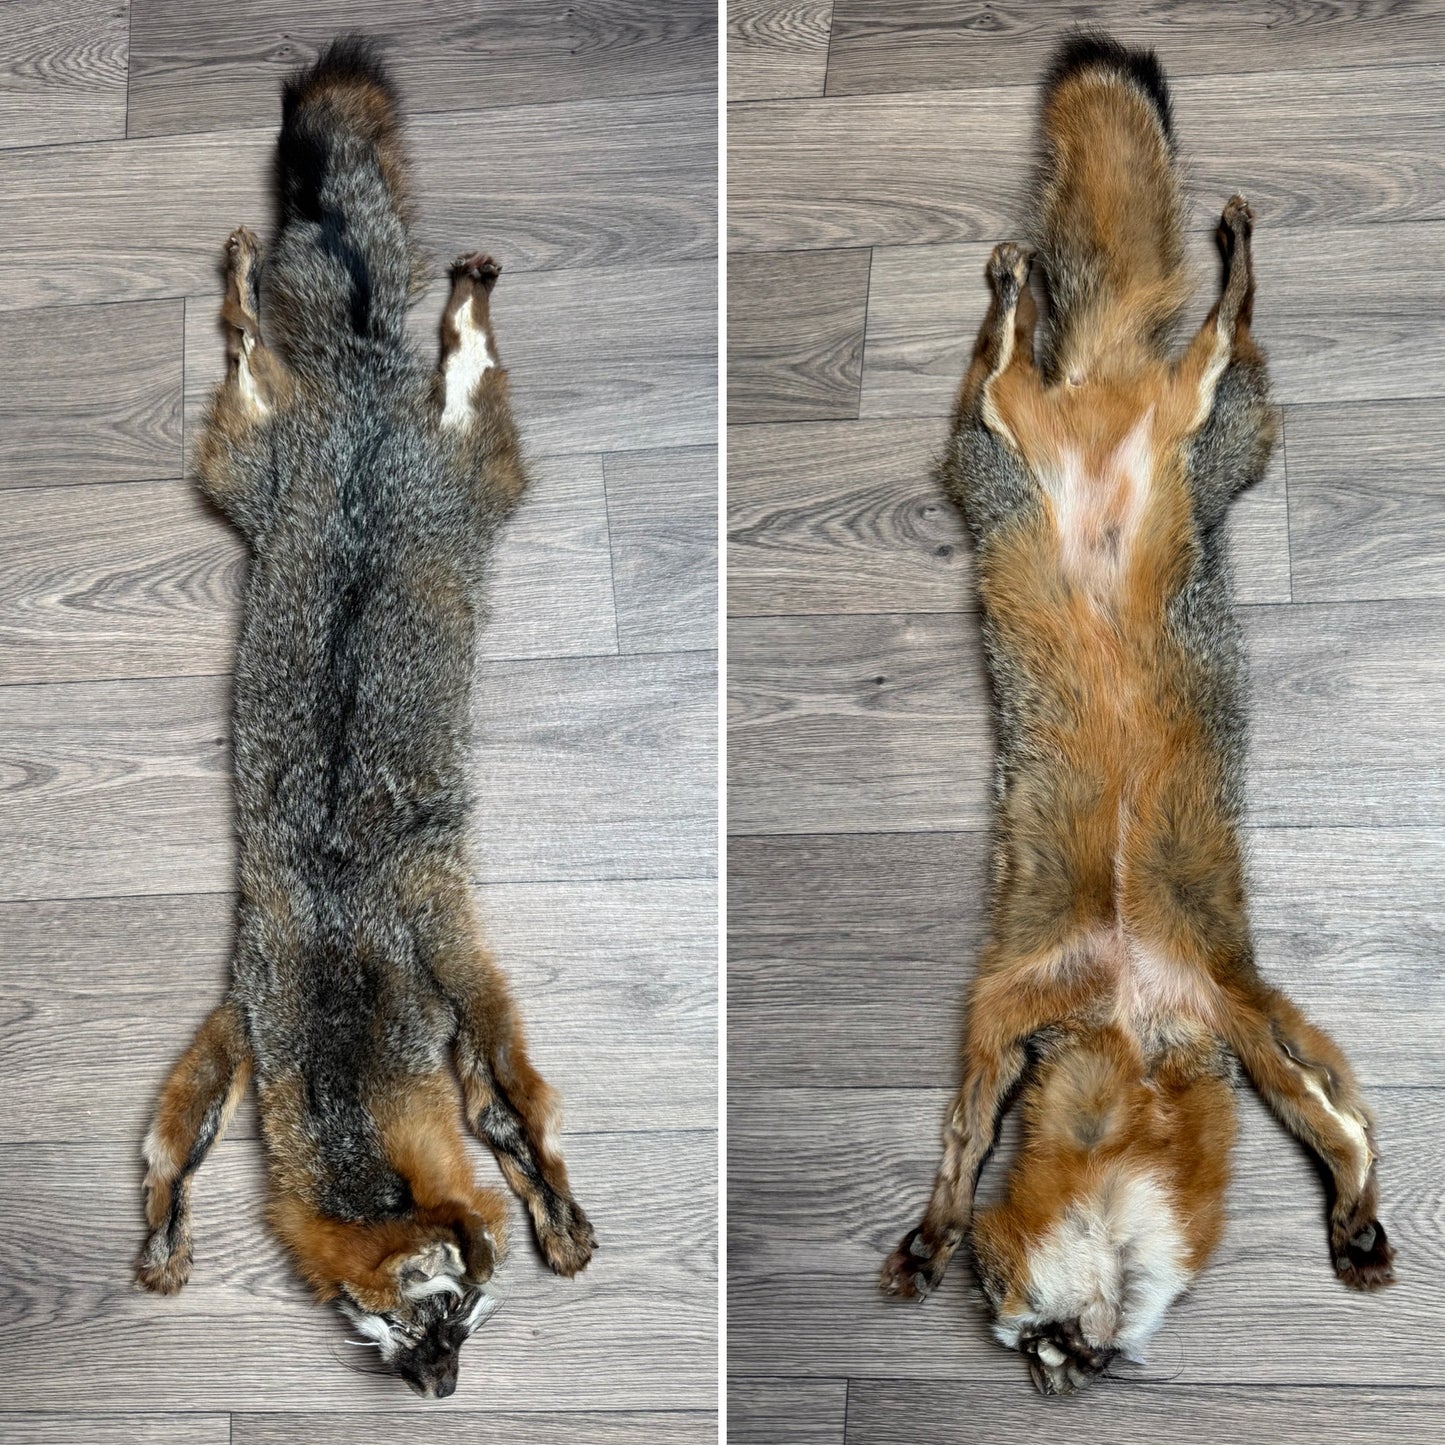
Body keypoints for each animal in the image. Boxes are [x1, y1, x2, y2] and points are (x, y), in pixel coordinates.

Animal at [134, 37, 595, 1398]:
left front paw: (559, 1208)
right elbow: (177, 1134)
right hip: (247, 467)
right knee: (254, 348)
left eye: (461, 1320)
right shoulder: (247, 998)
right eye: (406, 1334)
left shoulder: (449, 948)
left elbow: (513, 1104)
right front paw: (162, 1230)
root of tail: (354, 401)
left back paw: (453, 309)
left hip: (467, 466)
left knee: (456, 374)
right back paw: (251, 290)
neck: (345, 1055)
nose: (440, 1394)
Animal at [879, 33, 1394, 1393]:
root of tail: (1109, 390)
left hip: (1205, 411)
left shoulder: (1231, 1007)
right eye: (1033, 1339)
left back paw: (1213, 251)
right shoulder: (1008, 1005)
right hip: (997, 437)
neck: (1121, 1015)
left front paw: (1355, 1213)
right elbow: (960, 1140)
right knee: (1004, 359)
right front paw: (930, 1228)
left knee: (1210, 326)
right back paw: (1021, 284)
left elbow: (1340, 1123)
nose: (1069, 1366)